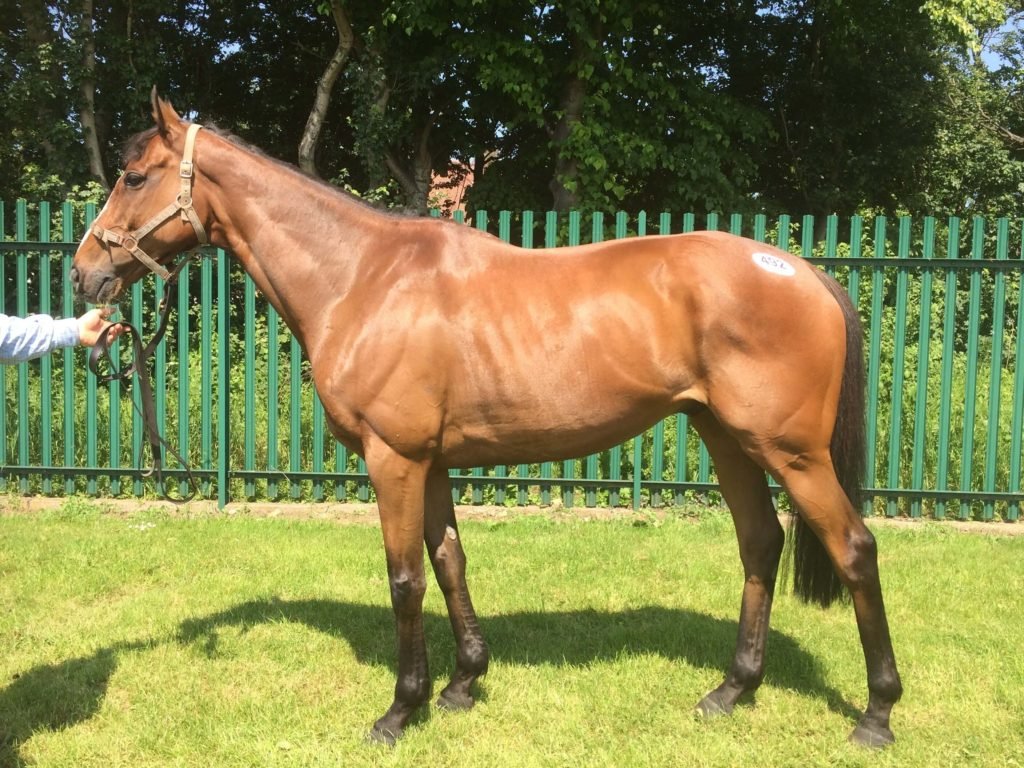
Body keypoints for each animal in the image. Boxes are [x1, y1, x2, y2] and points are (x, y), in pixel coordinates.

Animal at [70, 90, 902, 747]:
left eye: (134, 176)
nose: (84, 273)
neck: (362, 277)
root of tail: (803, 272)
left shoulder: (394, 459)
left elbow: (405, 577)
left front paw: (400, 711)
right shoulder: (431, 462)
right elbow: (449, 563)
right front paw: (463, 685)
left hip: (792, 452)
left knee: (855, 549)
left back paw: (876, 714)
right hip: (726, 438)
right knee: (760, 544)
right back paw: (732, 691)